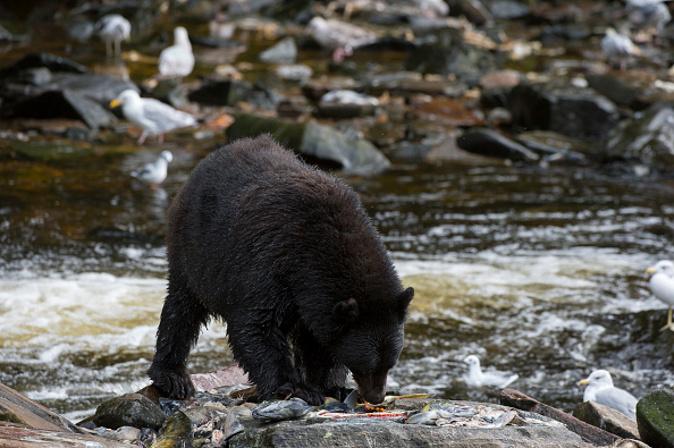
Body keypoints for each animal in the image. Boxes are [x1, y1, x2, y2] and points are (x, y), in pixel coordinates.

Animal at [148, 135, 414, 405]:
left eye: (390, 364)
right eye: (367, 366)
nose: (376, 397)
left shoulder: (314, 300)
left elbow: (320, 341)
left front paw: (332, 386)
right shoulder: (271, 262)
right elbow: (257, 326)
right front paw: (295, 387)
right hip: (194, 252)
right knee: (181, 311)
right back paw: (172, 376)